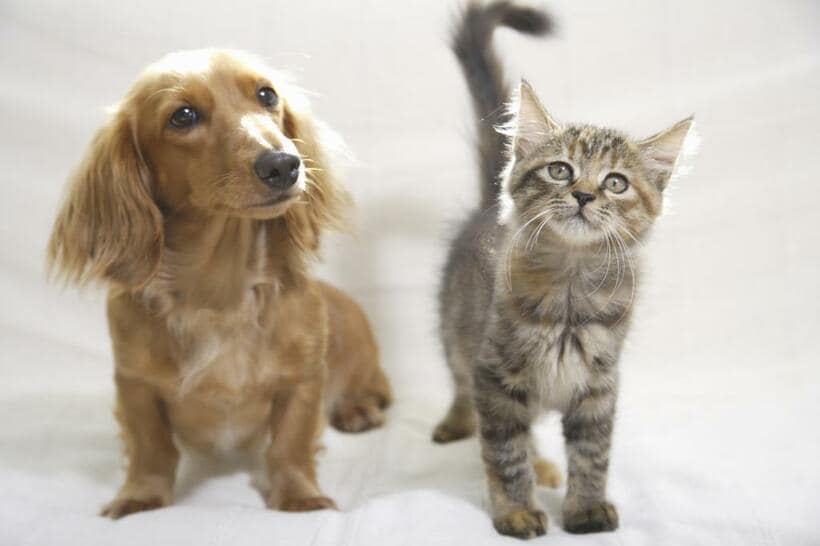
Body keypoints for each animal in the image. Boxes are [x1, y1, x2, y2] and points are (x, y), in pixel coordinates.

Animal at [48, 49, 394, 516]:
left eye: (267, 95)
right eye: (183, 116)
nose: (283, 164)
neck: (220, 291)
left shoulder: (302, 380)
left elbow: (290, 444)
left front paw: (301, 497)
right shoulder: (134, 385)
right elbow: (150, 448)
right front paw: (139, 497)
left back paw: (357, 410)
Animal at [432, 0, 696, 536]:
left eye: (615, 183)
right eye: (560, 170)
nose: (584, 195)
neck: (571, 289)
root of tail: (485, 209)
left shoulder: (598, 386)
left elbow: (592, 452)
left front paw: (585, 508)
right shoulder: (494, 376)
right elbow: (505, 452)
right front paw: (516, 510)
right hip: (457, 328)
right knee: (460, 381)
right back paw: (461, 425)